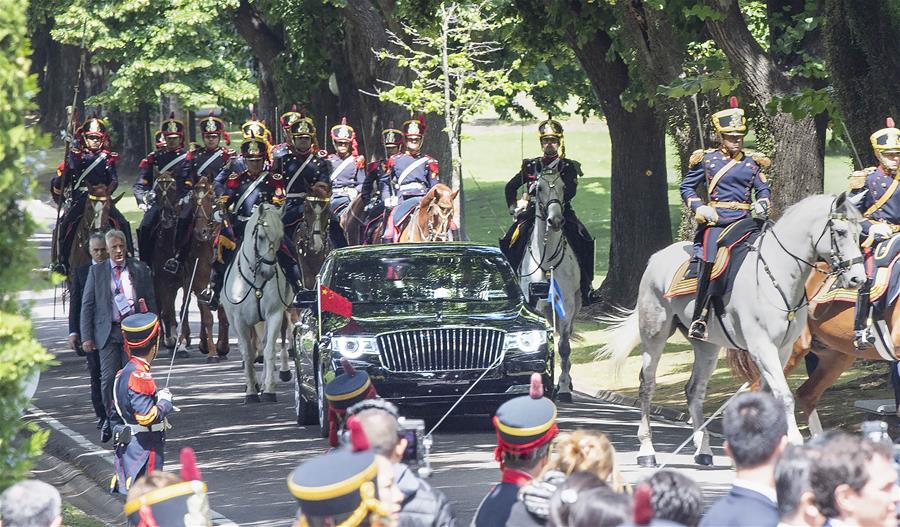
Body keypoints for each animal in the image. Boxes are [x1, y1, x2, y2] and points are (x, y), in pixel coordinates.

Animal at [174, 177, 227, 364]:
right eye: (192, 200)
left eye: (211, 198)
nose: (200, 231)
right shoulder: (198, 282)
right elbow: (208, 318)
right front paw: (213, 352)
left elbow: (222, 314)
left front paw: (221, 347)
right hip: (186, 279)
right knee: (186, 305)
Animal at [223, 203, 294, 404]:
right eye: (261, 236)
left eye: (280, 238)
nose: (268, 273)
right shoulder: (239, 320)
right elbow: (247, 352)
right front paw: (251, 393)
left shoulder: (275, 314)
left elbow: (269, 349)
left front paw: (269, 389)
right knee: (245, 347)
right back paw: (253, 384)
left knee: (266, 343)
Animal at [520, 168, 584, 400]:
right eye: (538, 188)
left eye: (564, 187)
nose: (555, 220)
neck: (547, 261)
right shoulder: (537, 306)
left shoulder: (566, 305)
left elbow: (564, 346)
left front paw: (563, 386)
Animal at [596, 194, 864, 466]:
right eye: (840, 231)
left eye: (860, 232)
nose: (858, 279)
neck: (778, 274)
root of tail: (657, 257)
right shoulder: (762, 347)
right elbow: (784, 395)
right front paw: (793, 444)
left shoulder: (783, 349)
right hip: (654, 333)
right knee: (647, 385)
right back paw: (647, 450)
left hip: (707, 345)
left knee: (694, 390)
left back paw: (703, 449)